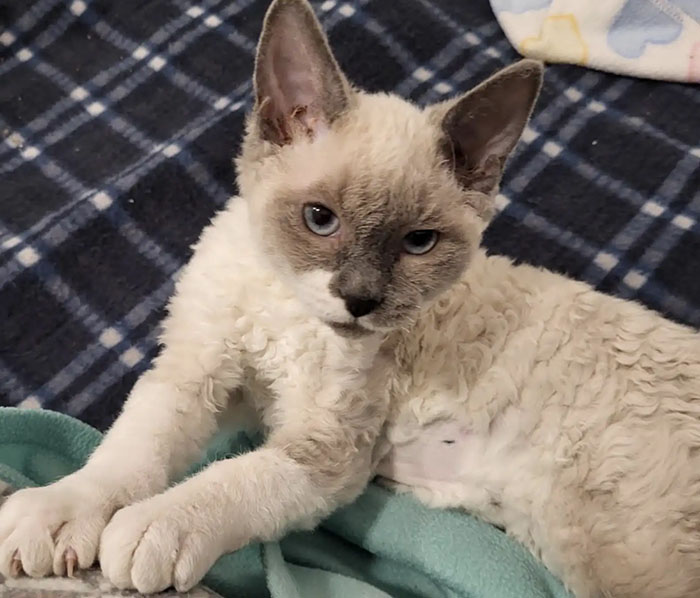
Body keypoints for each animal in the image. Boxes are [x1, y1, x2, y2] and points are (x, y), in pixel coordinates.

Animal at [1, 1, 700, 598]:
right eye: (320, 220)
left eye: (419, 242)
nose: (360, 300)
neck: (289, 314)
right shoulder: (204, 372)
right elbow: (130, 448)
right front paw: (62, 512)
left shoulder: (329, 449)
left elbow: (232, 477)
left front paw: (155, 527)